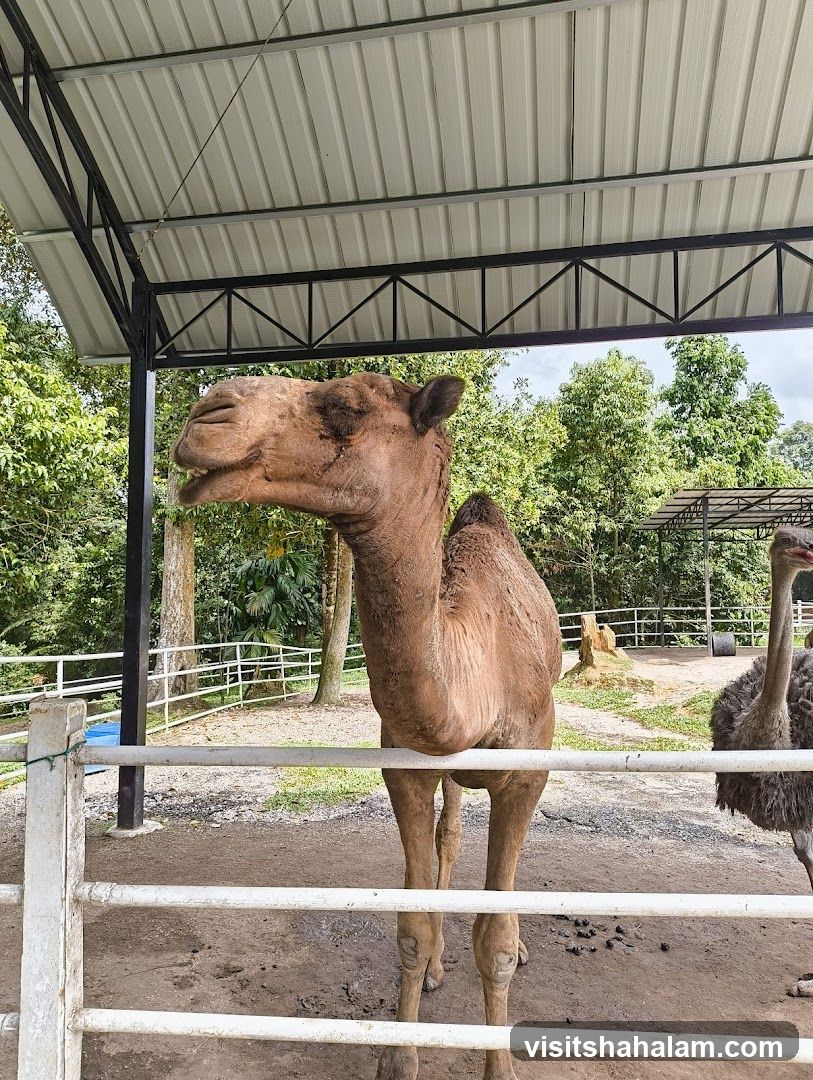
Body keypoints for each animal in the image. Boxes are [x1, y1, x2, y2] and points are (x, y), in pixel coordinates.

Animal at [173, 372, 561, 1080]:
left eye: (346, 407)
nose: (205, 415)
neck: (481, 673)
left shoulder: (525, 774)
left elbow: (495, 938)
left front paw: (500, 1063)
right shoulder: (404, 766)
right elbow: (411, 924)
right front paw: (400, 1057)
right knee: (448, 836)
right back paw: (438, 966)